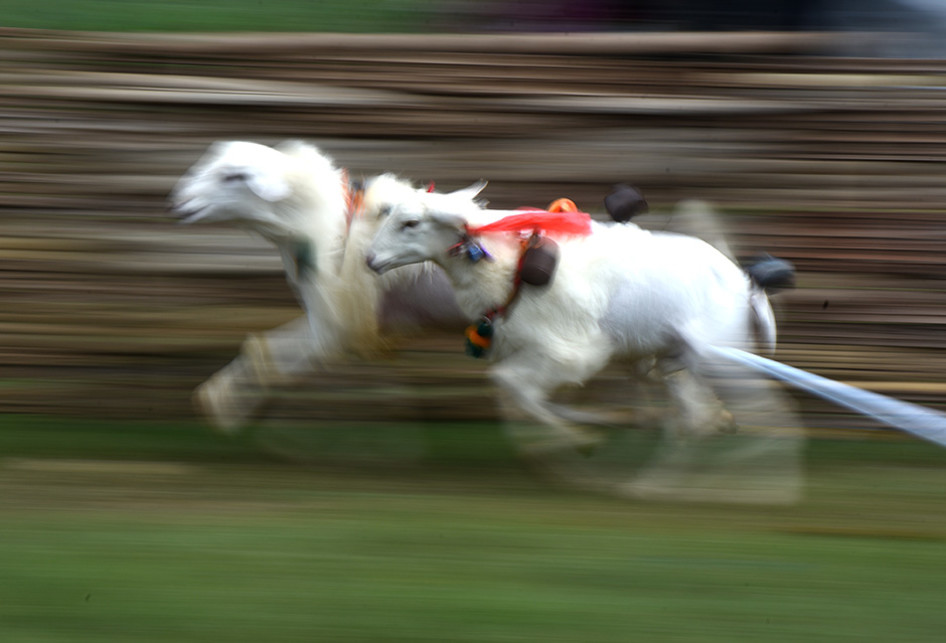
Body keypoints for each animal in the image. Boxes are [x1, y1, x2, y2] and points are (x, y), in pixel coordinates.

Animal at [166, 141, 484, 432]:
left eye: (233, 176)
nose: (177, 203)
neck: (329, 225)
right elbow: (266, 351)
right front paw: (221, 400)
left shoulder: (337, 326)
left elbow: (274, 354)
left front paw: (226, 405)